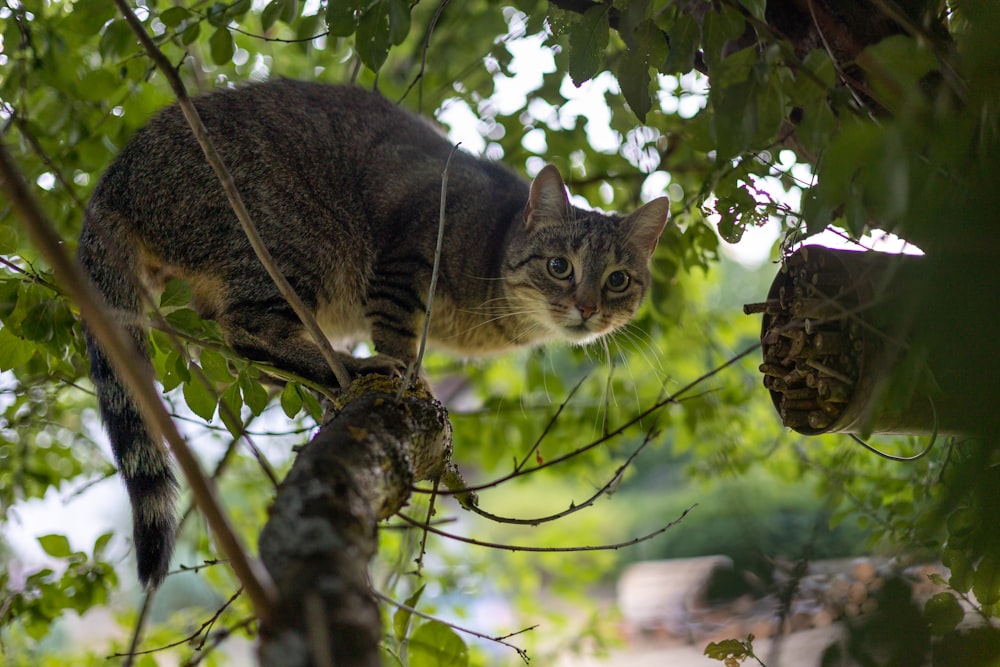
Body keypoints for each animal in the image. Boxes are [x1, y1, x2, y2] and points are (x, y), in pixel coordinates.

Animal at [78, 79, 668, 588]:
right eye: (559, 267)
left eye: (618, 280)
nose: (587, 307)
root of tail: (112, 179)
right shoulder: (404, 262)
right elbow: (397, 332)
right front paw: (410, 377)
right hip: (293, 241)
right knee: (246, 330)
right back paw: (349, 366)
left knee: (230, 346)